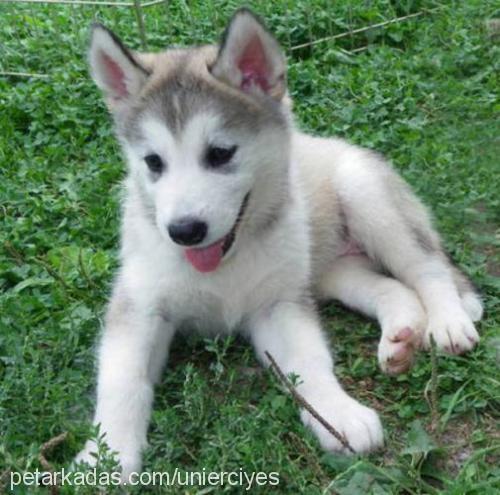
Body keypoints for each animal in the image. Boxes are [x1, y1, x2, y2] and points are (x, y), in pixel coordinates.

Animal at [76, 7, 482, 480]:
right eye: (153, 162)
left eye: (220, 153)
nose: (184, 231)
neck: (226, 262)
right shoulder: (139, 306)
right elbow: (121, 380)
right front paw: (105, 455)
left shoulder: (278, 304)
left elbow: (308, 364)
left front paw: (338, 415)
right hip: (328, 272)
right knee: (391, 287)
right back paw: (400, 339)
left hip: (365, 195)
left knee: (427, 267)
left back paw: (448, 322)